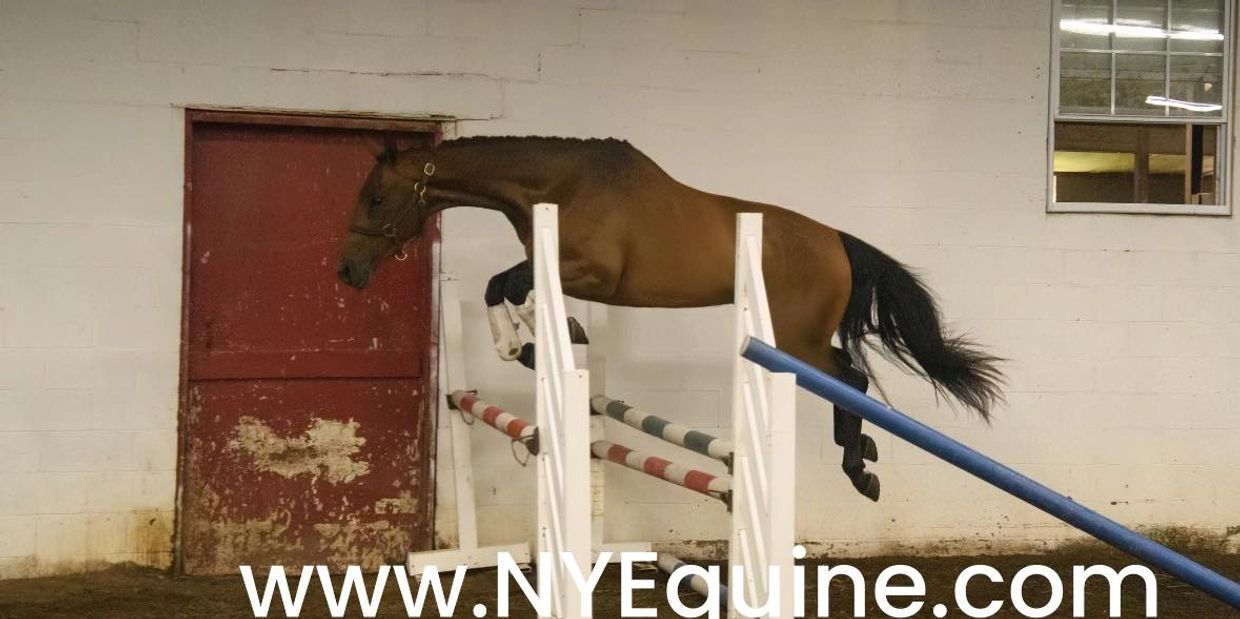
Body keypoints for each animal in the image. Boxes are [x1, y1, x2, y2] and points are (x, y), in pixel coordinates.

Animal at [337, 136, 1003, 502]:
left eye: (375, 197)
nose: (348, 271)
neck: (559, 185)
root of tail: (838, 240)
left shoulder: (590, 274)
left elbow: (514, 284)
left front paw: (537, 338)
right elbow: (498, 284)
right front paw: (519, 345)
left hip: (797, 339)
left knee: (852, 380)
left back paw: (858, 466)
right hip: (795, 338)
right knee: (848, 379)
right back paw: (859, 451)